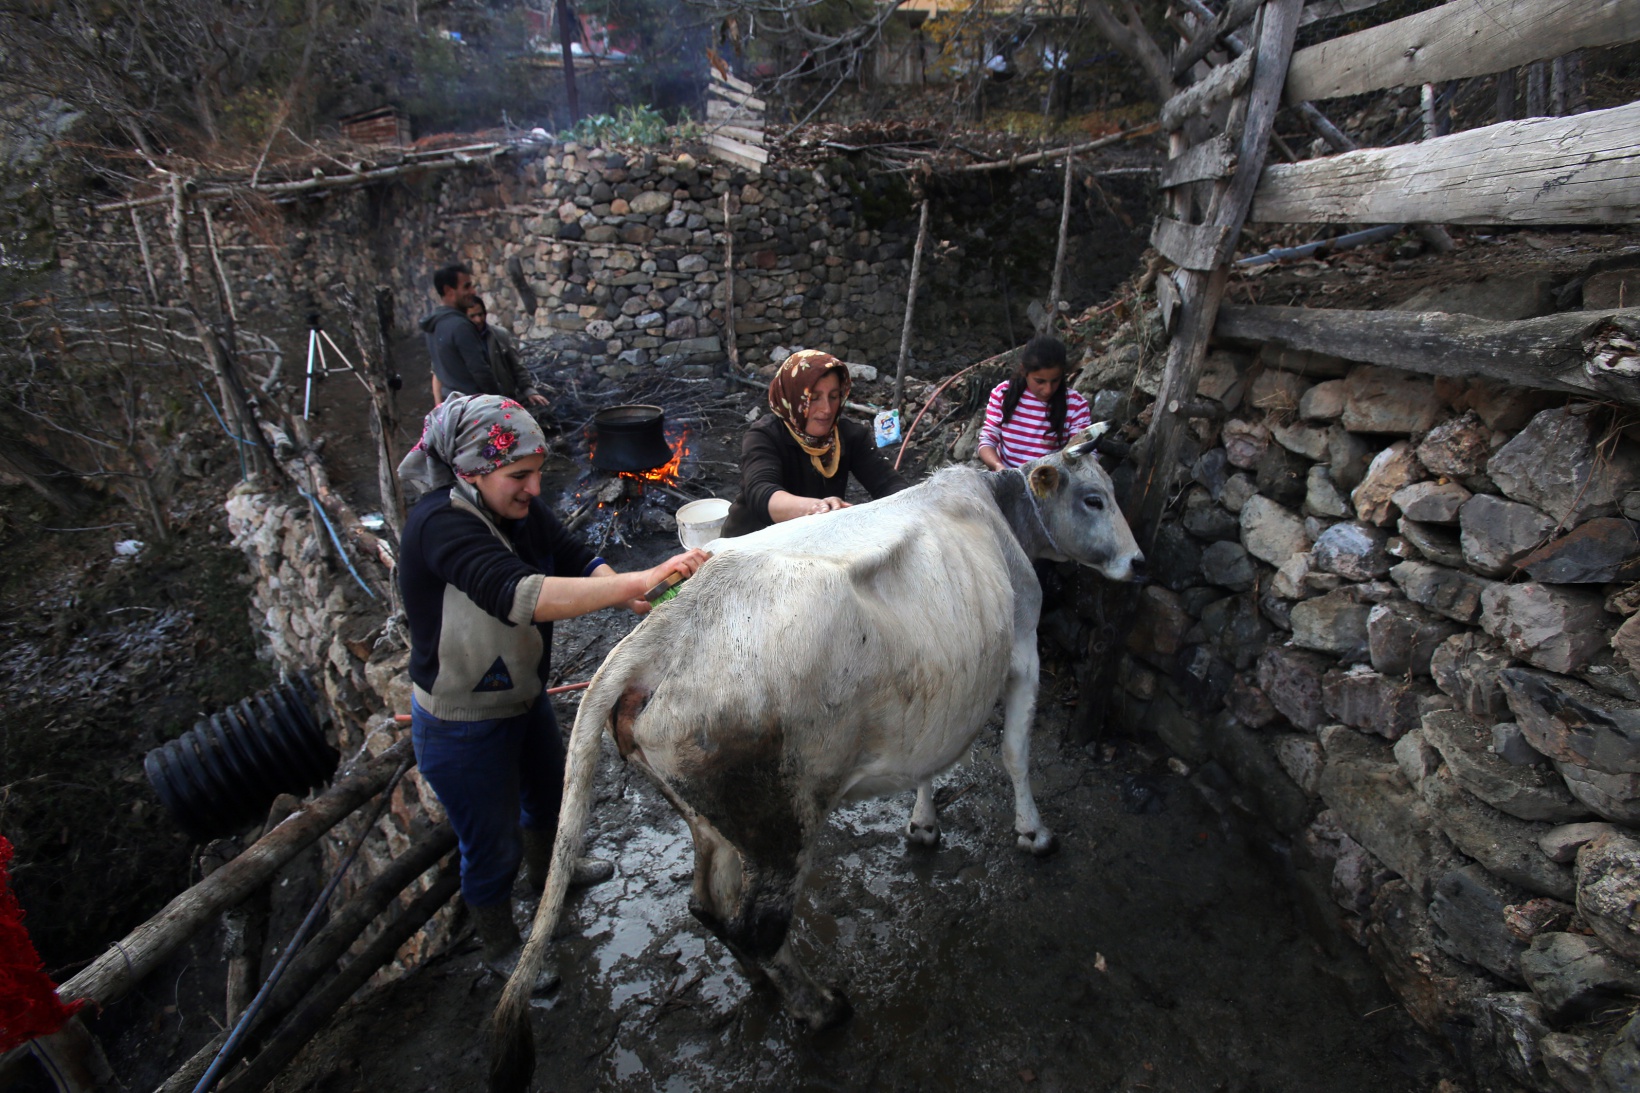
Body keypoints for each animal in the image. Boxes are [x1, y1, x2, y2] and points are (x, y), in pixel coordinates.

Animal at [488, 428, 1144, 1092]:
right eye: (1093, 498)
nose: (1140, 563)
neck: (995, 508)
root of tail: (666, 625)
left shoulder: (941, 689)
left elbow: (929, 764)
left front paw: (924, 824)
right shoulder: (1023, 652)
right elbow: (1014, 754)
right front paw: (1034, 833)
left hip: (713, 819)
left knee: (710, 906)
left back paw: (763, 981)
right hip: (782, 826)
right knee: (757, 926)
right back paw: (820, 1007)